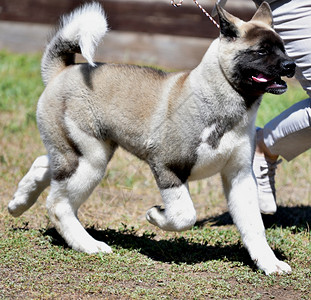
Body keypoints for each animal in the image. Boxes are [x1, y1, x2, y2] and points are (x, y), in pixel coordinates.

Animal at [8, 2, 296, 274]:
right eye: (261, 51)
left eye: (283, 48)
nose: (291, 65)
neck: (218, 100)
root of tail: (62, 72)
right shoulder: (167, 166)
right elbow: (185, 215)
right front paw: (156, 216)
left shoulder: (240, 176)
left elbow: (254, 226)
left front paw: (269, 263)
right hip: (90, 159)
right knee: (59, 204)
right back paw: (88, 244)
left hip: (79, 152)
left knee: (44, 165)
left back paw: (18, 203)